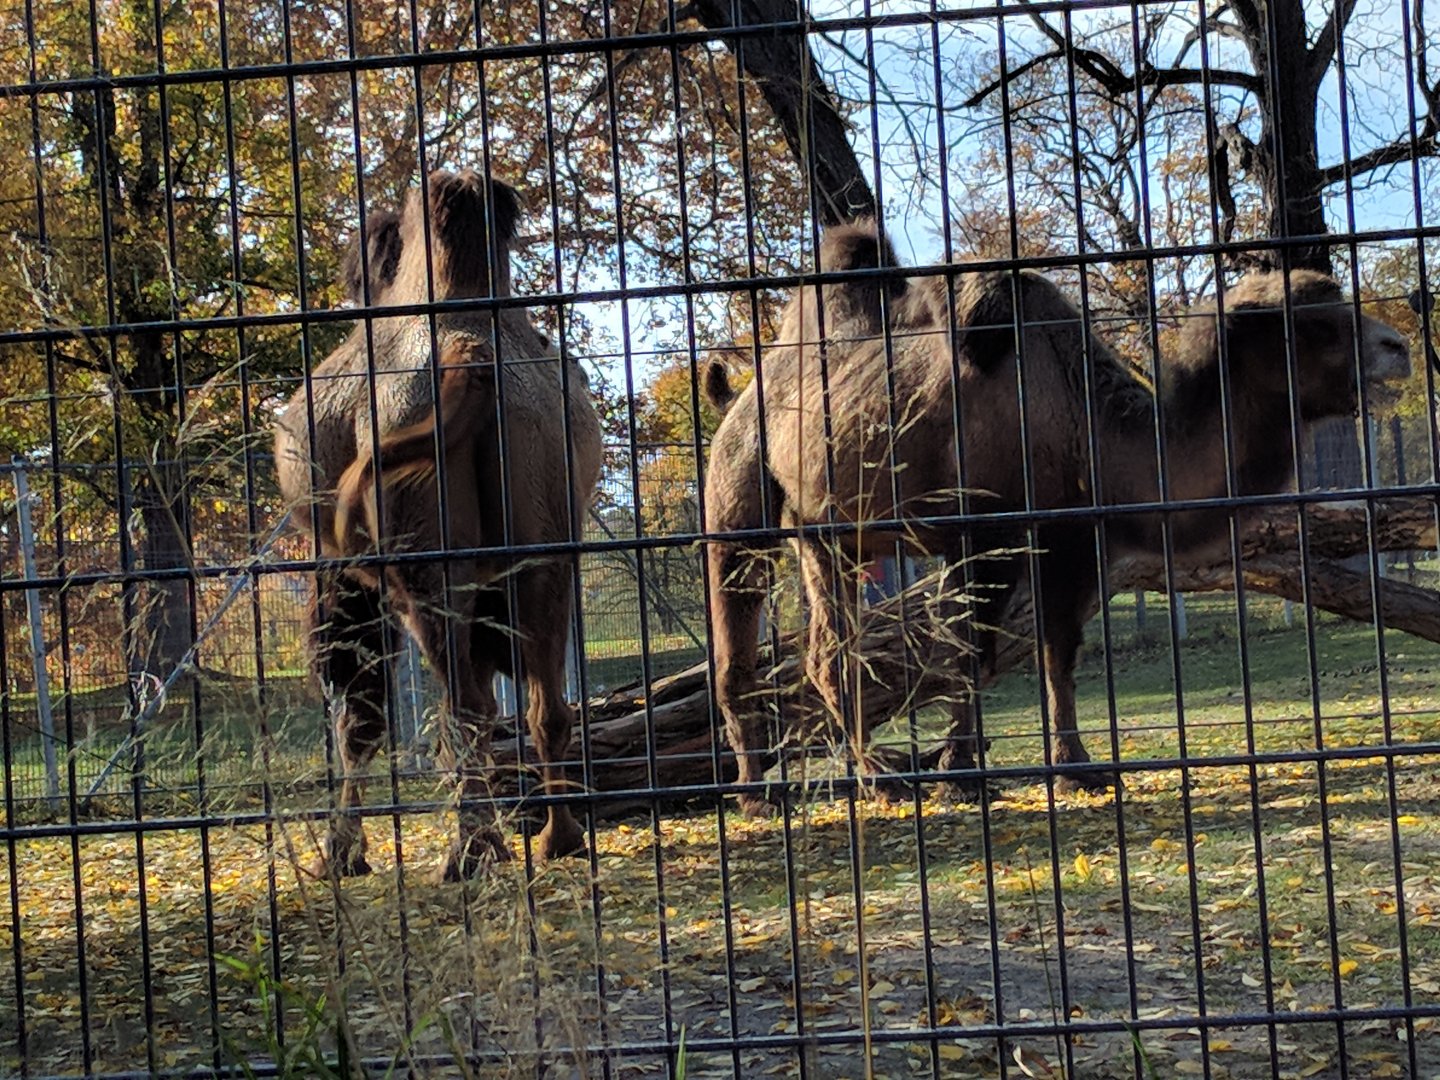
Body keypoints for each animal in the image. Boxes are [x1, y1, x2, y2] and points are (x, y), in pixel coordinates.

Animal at [273, 169, 603, 881]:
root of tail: (466, 350)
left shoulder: (343, 573)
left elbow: (360, 716)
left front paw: (341, 854)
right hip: (546, 550)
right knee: (541, 705)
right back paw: (558, 838)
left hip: (424, 566)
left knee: (460, 707)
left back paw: (472, 851)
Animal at [704, 221, 1411, 816]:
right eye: (1309, 326)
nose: (1398, 346)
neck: (1078, 416)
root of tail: (741, 389)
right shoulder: (984, 528)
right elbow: (973, 648)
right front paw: (962, 772)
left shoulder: (1067, 533)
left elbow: (1056, 649)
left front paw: (1076, 768)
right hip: (743, 490)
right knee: (749, 634)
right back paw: (786, 789)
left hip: (832, 535)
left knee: (828, 647)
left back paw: (855, 772)